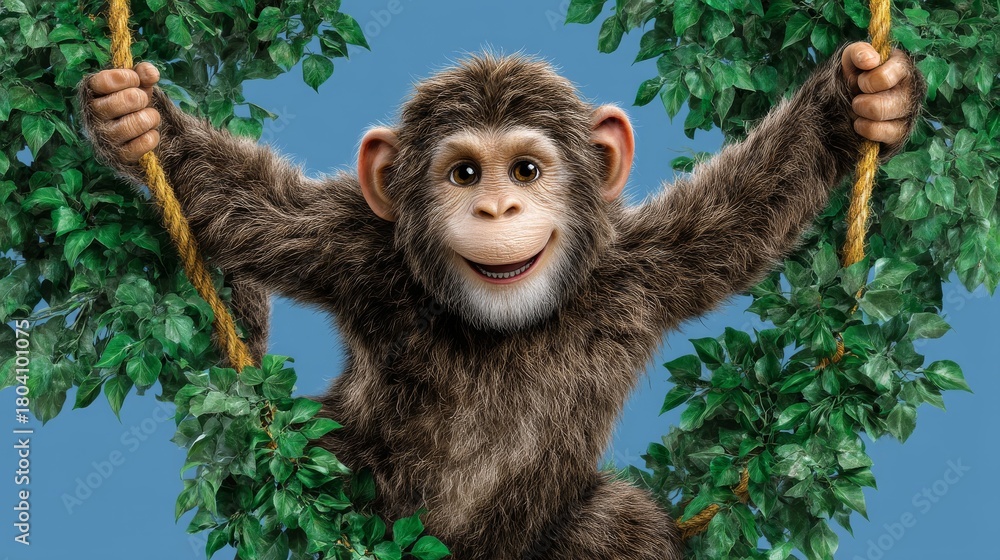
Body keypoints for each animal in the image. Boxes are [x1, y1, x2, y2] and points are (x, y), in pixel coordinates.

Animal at [79, 42, 924, 559]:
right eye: (463, 174)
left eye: (524, 170)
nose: (496, 208)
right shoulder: (353, 247)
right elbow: (258, 211)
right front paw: (135, 122)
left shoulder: (640, 272)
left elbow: (745, 208)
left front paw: (867, 98)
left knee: (619, 527)